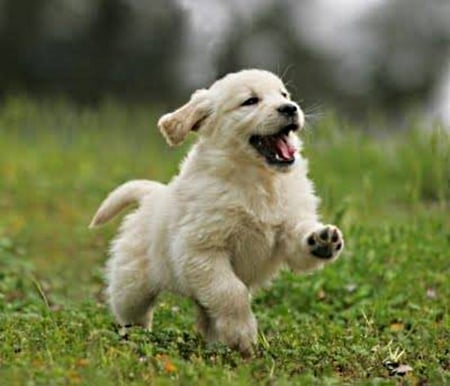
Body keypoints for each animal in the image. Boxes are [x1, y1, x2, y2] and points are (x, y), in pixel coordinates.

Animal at [90, 68, 344, 352]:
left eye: (284, 94)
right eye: (250, 101)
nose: (290, 108)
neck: (259, 180)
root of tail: (153, 194)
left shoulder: (288, 226)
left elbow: (300, 240)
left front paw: (322, 240)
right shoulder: (203, 249)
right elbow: (231, 291)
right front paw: (242, 333)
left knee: (206, 314)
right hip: (132, 283)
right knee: (132, 314)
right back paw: (136, 340)